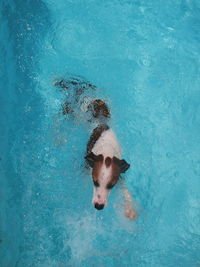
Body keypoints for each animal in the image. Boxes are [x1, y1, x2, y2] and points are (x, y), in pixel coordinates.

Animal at [54, 76, 137, 220]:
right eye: (95, 182)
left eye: (111, 185)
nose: (99, 206)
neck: (106, 151)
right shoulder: (87, 166)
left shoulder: (120, 172)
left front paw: (130, 208)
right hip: (70, 113)